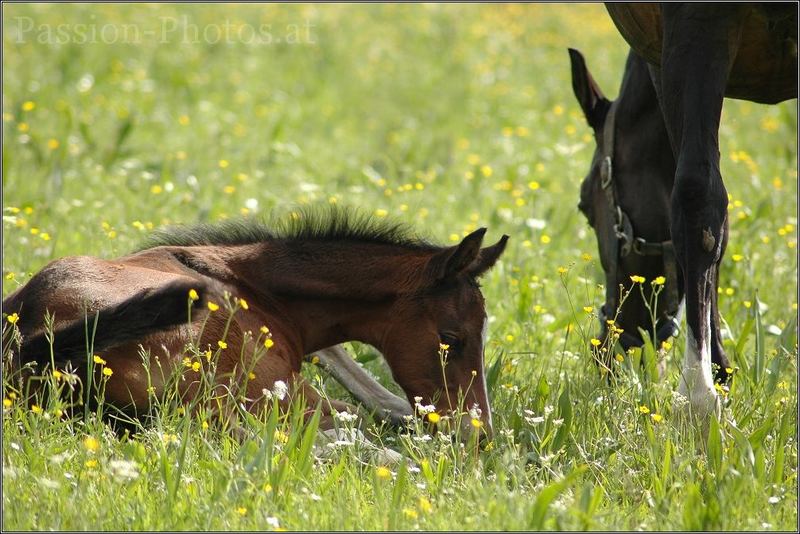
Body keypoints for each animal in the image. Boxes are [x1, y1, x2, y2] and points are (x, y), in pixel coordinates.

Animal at [3, 209, 506, 440]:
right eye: (450, 338)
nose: (476, 434)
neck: (254, 286)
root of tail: (33, 340)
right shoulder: (283, 384)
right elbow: (350, 410)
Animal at [572, 4, 796, 422]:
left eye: (585, 206)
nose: (606, 351)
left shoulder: (680, 37)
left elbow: (696, 197)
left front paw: (699, 397)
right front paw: (721, 377)